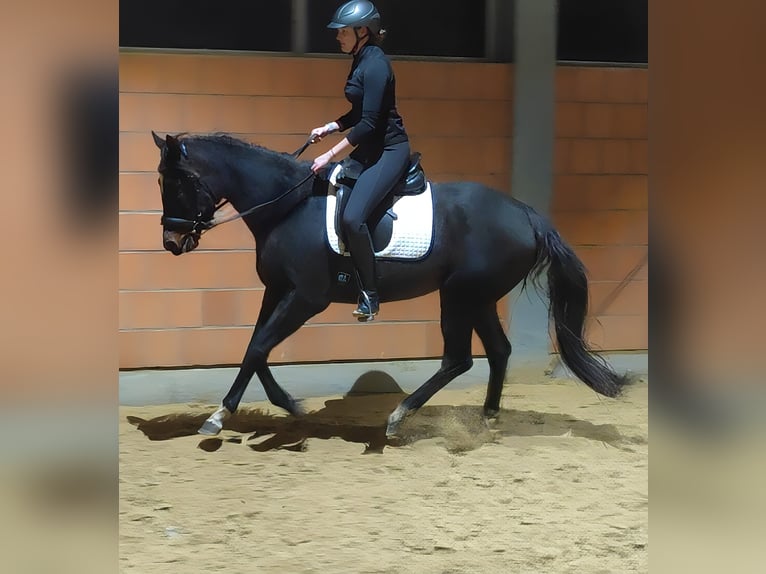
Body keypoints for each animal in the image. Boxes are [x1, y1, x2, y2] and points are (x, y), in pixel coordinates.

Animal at [151, 131, 628, 438]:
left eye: (177, 181)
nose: (172, 241)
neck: (288, 204)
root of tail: (528, 215)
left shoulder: (306, 297)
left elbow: (259, 347)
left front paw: (229, 414)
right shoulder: (277, 291)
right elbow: (256, 347)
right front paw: (275, 405)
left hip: (459, 295)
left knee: (459, 358)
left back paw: (399, 418)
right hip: (479, 297)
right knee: (498, 351)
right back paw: (488, 419)